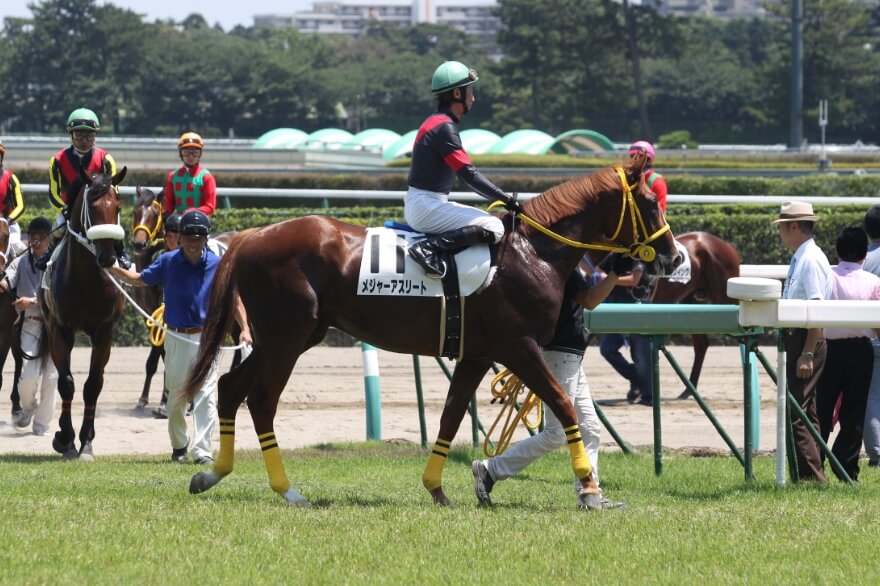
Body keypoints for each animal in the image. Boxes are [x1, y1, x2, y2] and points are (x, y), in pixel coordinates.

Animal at [39, 167, 127, 459]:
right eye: (93, 206)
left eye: (118, 206)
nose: (107, 257)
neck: (87, 281)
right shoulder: (61, 330)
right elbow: (66, 383)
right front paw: (65, 438)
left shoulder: (104, 333)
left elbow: (93, 385)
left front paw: (86, 442)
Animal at [182, 157, 679, 508]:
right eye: (651, 203)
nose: (673, 257)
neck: (531, 251)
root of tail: (252, 235)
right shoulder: (519, 347)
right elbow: (562, 404)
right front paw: (590, 489)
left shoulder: (478, 354)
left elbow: (452, 416)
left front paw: (437, 488)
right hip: (286, 338)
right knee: (261, 401)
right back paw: (288, 491)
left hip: (286, 338)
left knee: (230, 388)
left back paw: (210, 475)